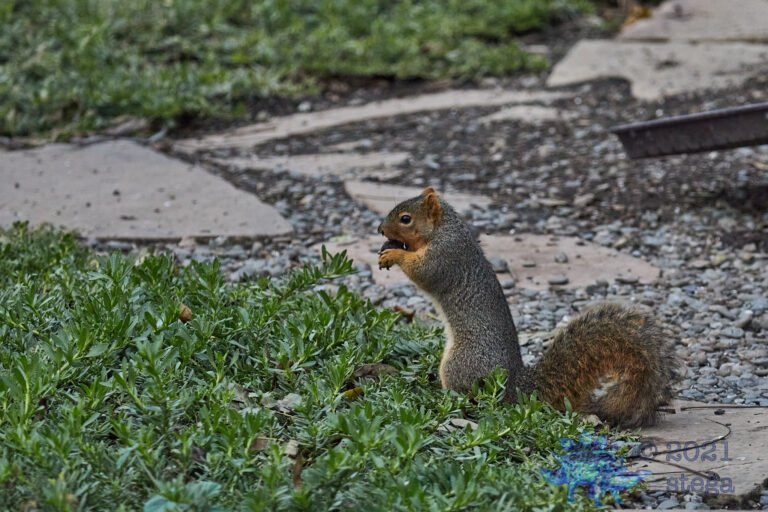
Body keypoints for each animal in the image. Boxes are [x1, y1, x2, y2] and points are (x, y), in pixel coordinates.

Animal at [377, 187, 676, 428]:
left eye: (406, 218)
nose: (380, 230)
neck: (444, 229)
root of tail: (514, 385)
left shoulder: (445, 256)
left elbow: (423, 271)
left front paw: (394, 254)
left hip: (459, 363)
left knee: (466, 393)